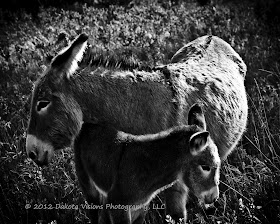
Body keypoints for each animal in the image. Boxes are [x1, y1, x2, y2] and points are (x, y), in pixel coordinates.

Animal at [74, 104, 221, 224]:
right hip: (86, 183)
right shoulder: (118, 205)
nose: (214, 198)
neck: (148, 167)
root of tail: (86, 124)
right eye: (206, 167)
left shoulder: (140, 207)